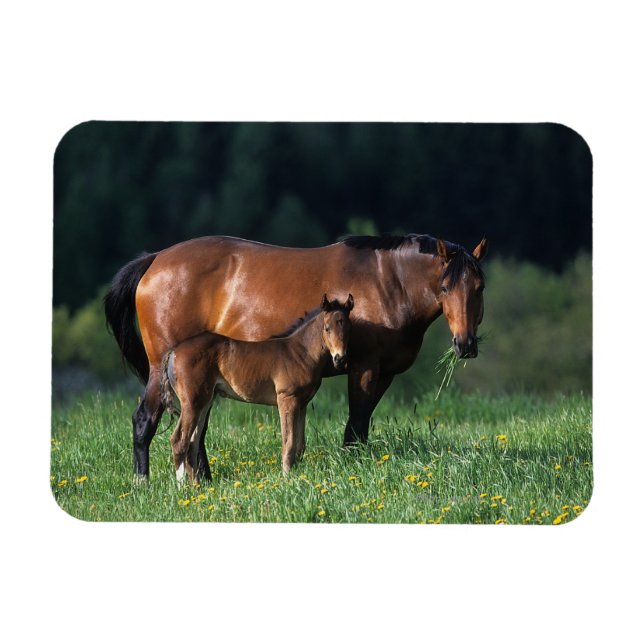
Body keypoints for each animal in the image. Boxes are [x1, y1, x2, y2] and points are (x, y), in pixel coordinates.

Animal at [159, 294, 353, 481]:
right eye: (327, 328)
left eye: (348, 328)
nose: (340, 359)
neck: (300, 352)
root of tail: (173, 351)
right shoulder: (287, 399)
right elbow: (289, 442)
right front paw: (287, 478)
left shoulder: (302, 404)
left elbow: (300, 445)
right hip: (192, 402)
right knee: (179, 441)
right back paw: (182, 486)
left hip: (205, 401)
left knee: (192, 443)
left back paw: (198, 487)